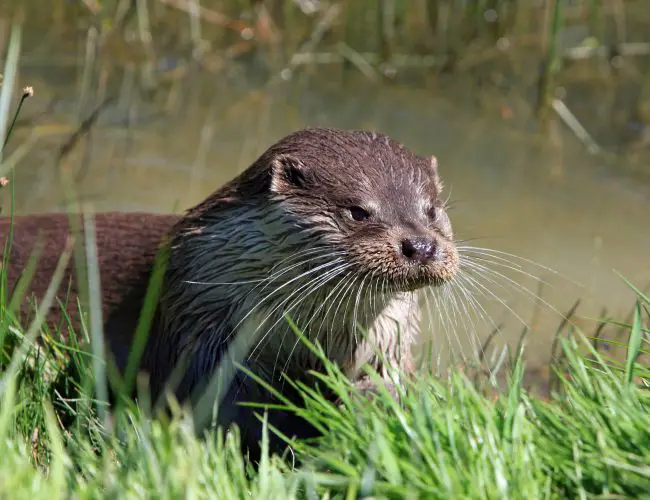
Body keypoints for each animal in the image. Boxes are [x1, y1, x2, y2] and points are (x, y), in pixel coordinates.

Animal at [1, 128, 456, 458]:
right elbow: (228, 409)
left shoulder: (388, 338)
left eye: (431, 210)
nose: (421, 245)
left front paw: (372, 403)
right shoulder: (201, 332)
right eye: (358, 211)